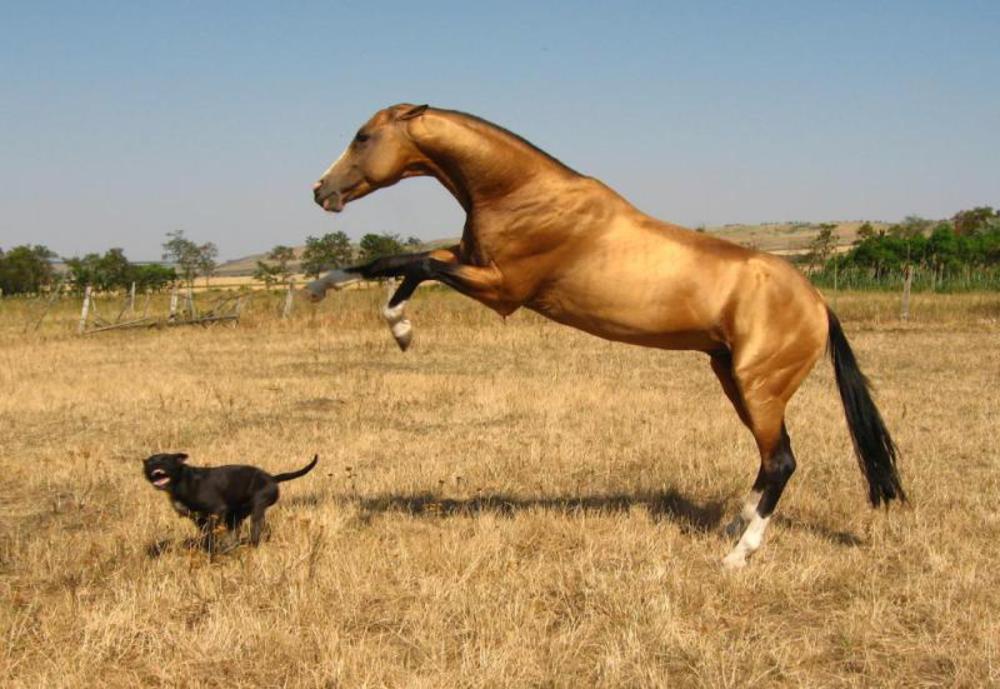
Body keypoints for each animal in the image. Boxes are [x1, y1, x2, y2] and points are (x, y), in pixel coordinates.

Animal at [143, 452, 316, 548]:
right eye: (150, 461)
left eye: (165, 459)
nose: (154, 465)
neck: (181, 480)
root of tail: (272, 478)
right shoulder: (198, 519)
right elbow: (206, 535)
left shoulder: (216, 510)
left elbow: (211, 534)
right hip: (236, 516)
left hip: (257, 509)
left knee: (256, 531)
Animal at [306, 101, 908, 564]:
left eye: (363, 136)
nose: (319, 190)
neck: (524, 192)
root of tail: (819, 302)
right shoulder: (470, 263)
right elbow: (405, 264)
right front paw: (369, 312)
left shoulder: (500, 289)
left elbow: (407, 260)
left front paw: (356, 305)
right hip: (732, 377)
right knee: (768, 461)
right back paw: (733, 525)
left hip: (760, 385)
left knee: (782, 461)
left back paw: (737, 555)